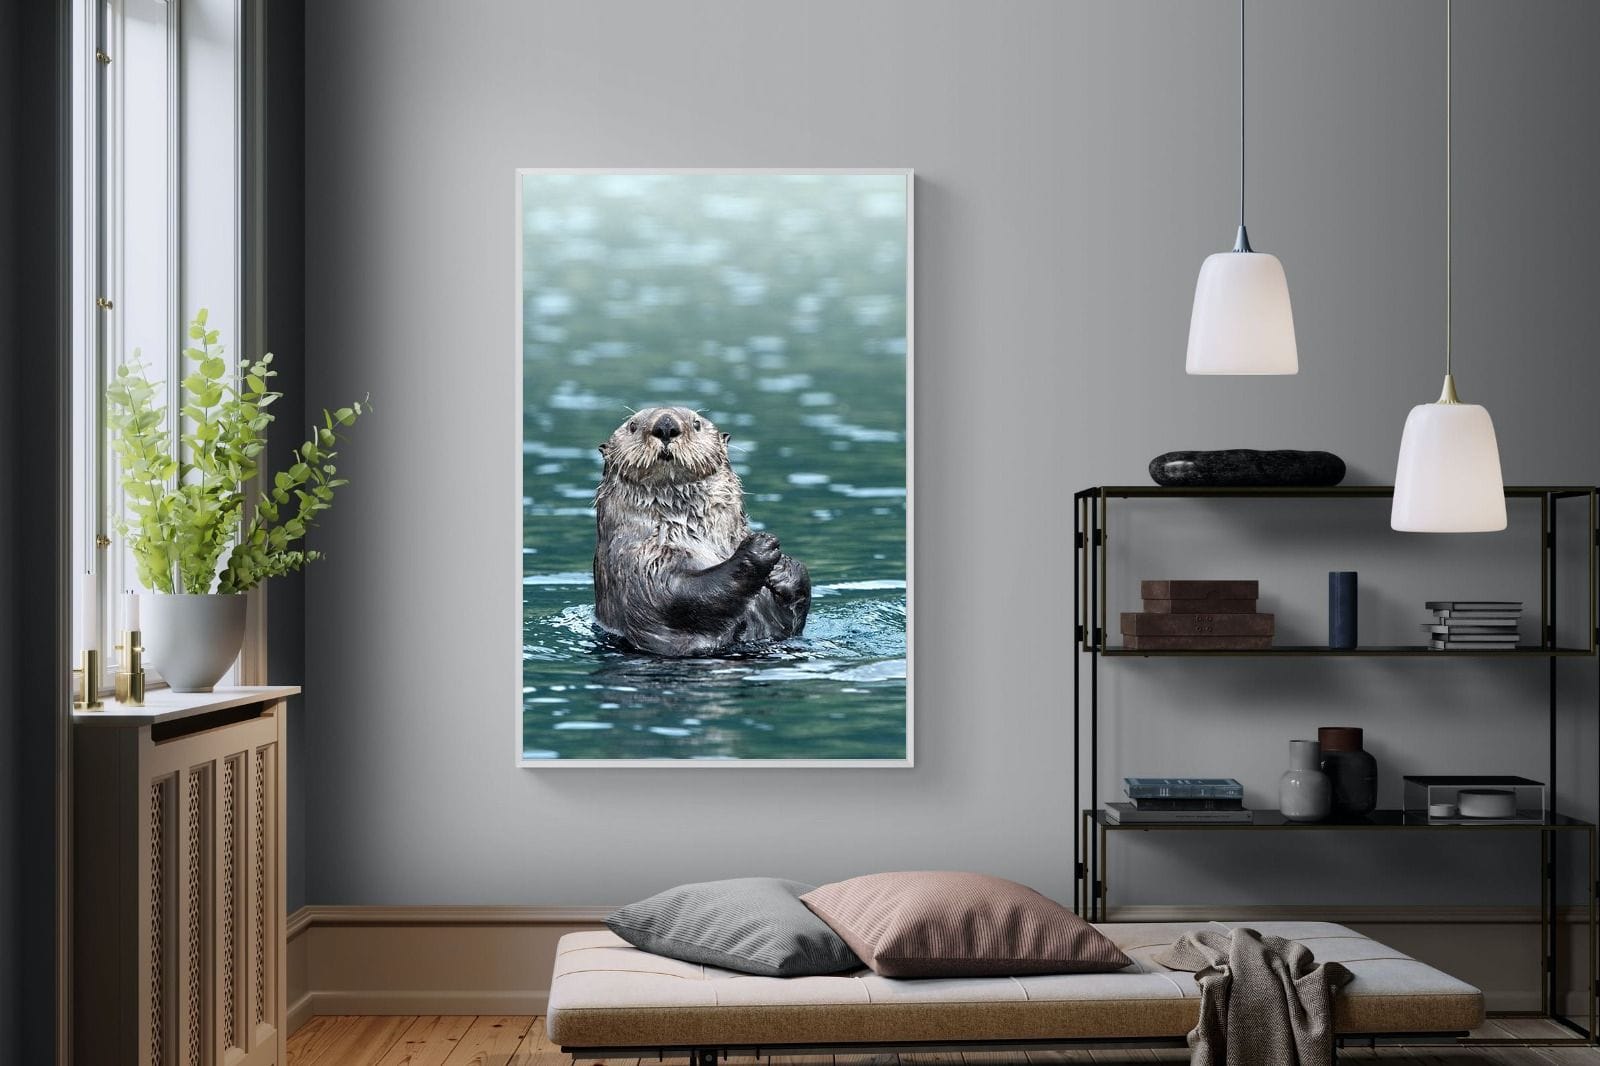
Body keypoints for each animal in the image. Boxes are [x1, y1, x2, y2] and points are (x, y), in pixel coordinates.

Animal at [593, 406, 811, 657]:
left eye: (696, 423)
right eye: (632, 426)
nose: (666, 425)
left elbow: (792, 620)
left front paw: (784, 568)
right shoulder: (638, 562)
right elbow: (678, 595)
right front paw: (759, 547)